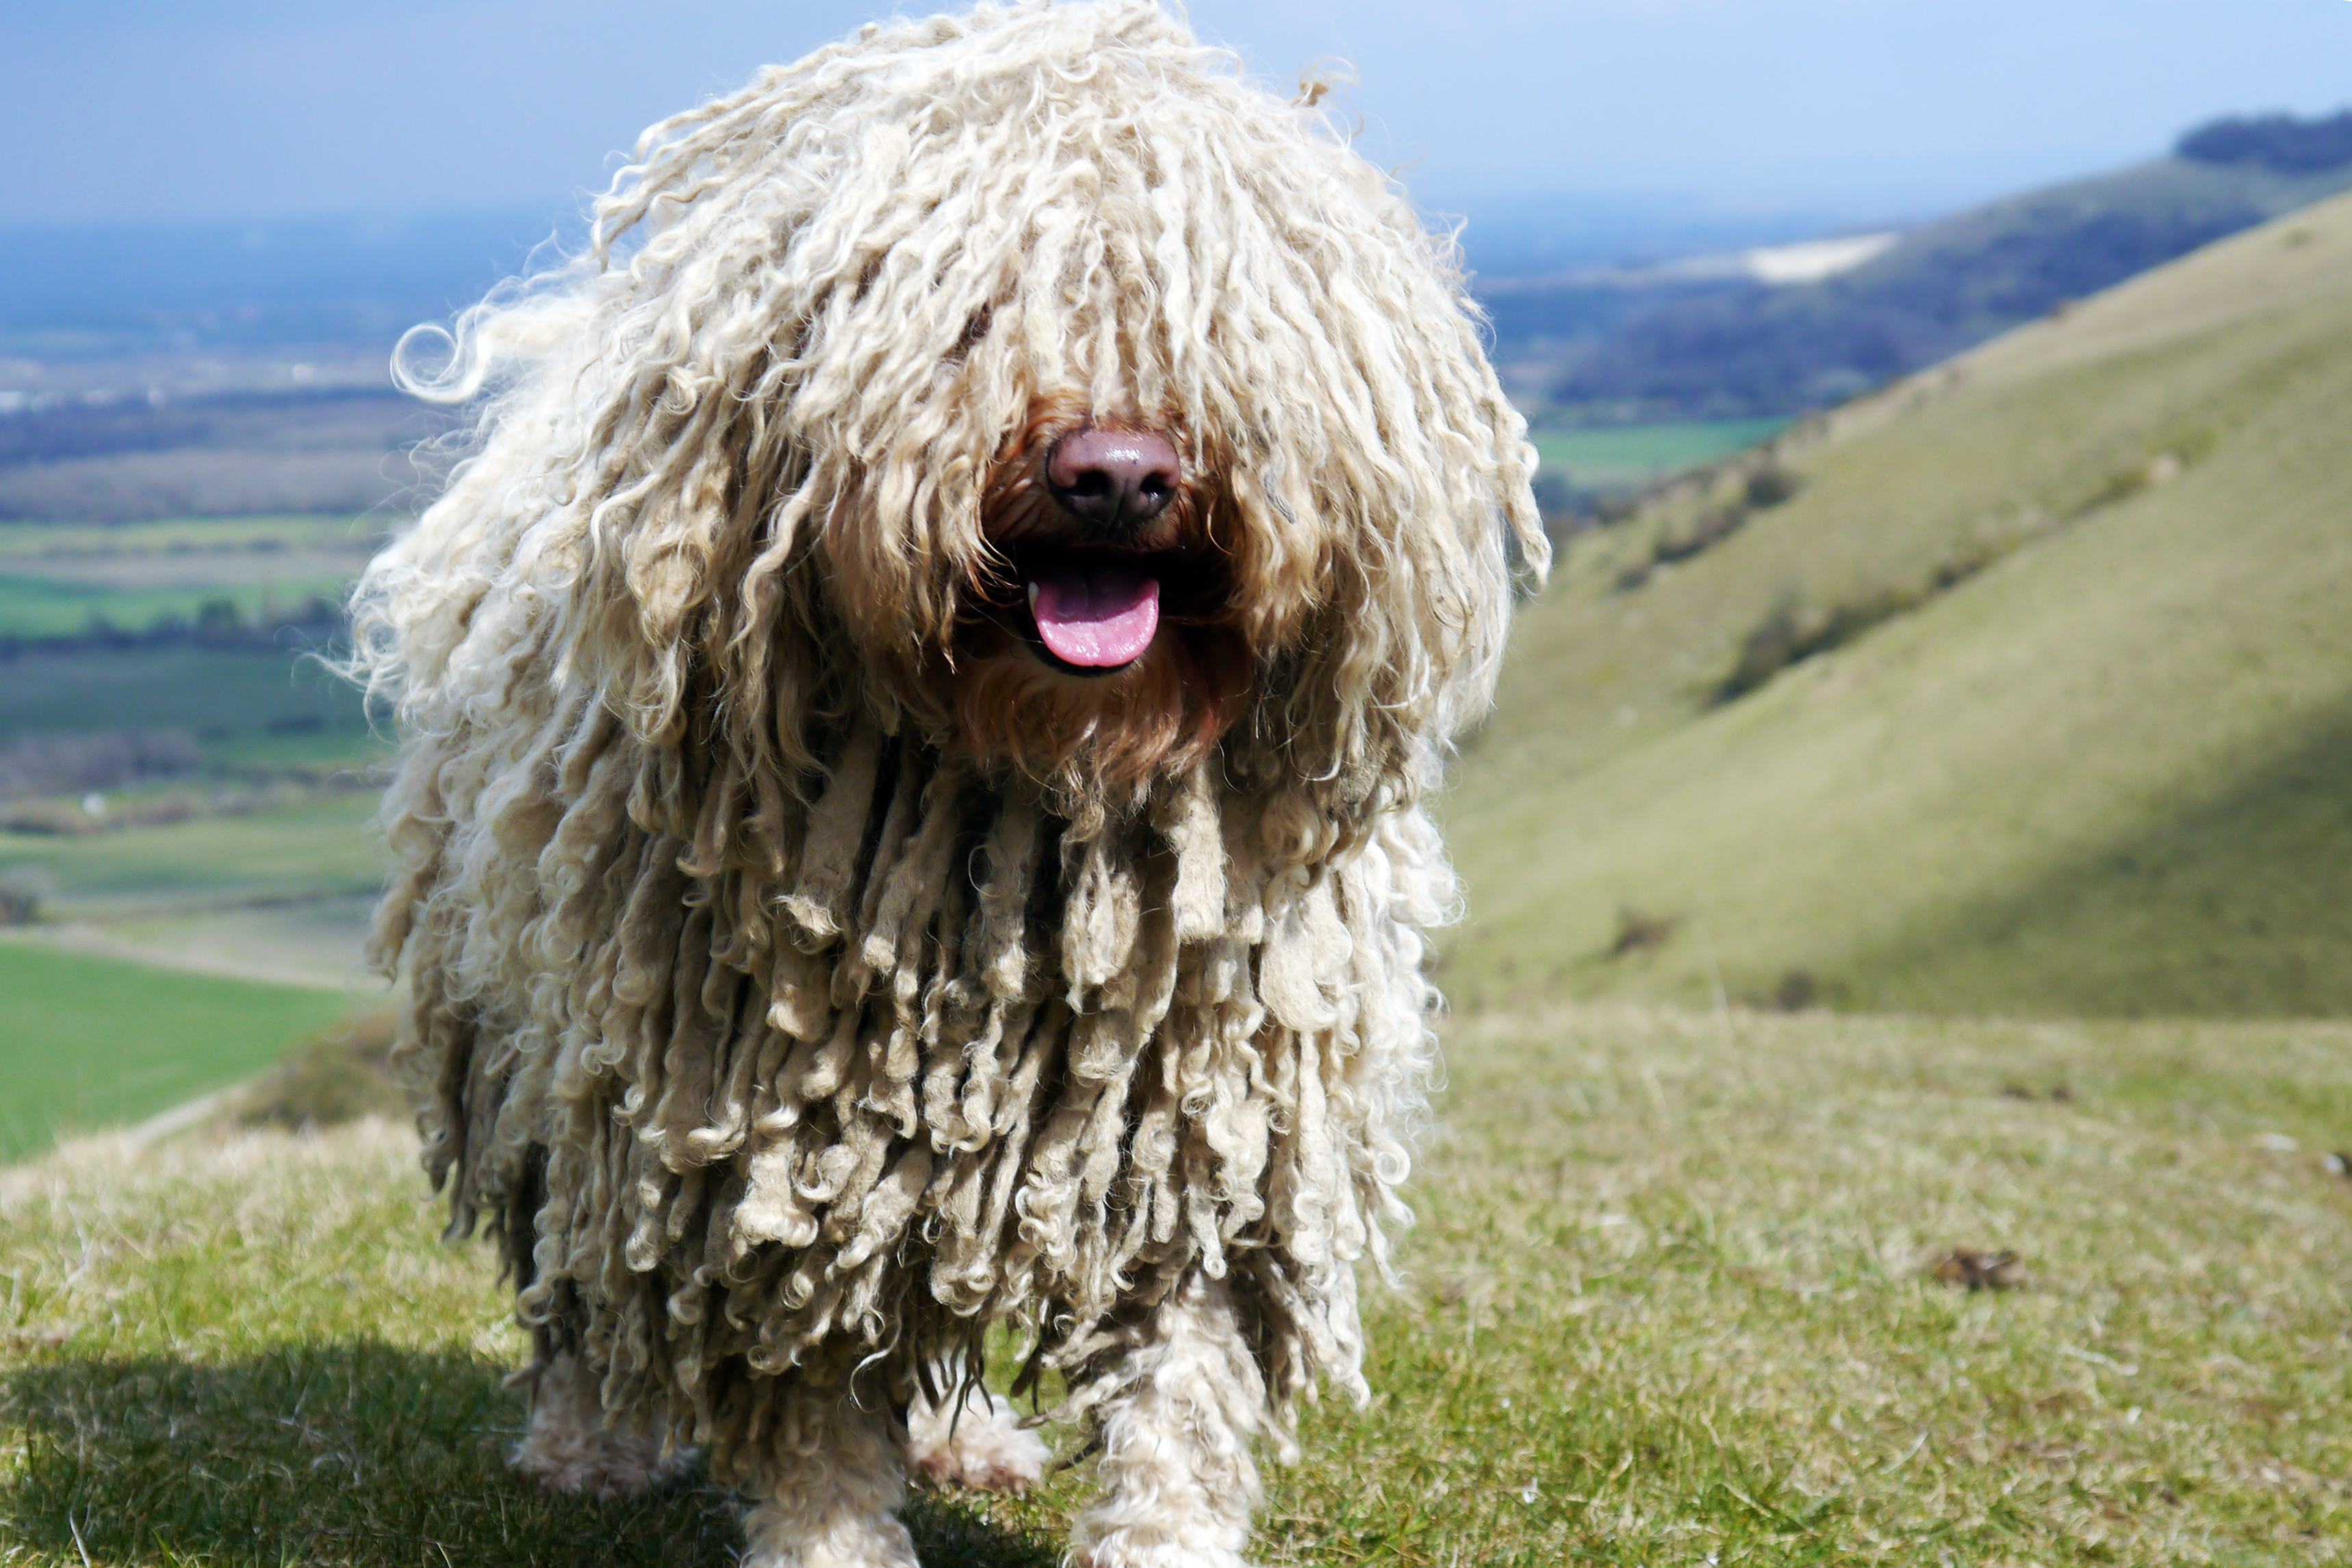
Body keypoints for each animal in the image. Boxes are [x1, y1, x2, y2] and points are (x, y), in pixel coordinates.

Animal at [353, 5, 1543, 1560]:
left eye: (1222, 330)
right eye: (970, 316)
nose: (1116, 474)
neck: (1034, 781)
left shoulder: (1207, 1123)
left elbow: (1181, 1385)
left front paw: (1154, 1530)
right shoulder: (764, 1135)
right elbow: (802, 1389)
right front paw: (828, 1536)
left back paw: (962, 1435)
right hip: (536, 1031)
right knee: (573, 1251)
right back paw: (589, 1439)